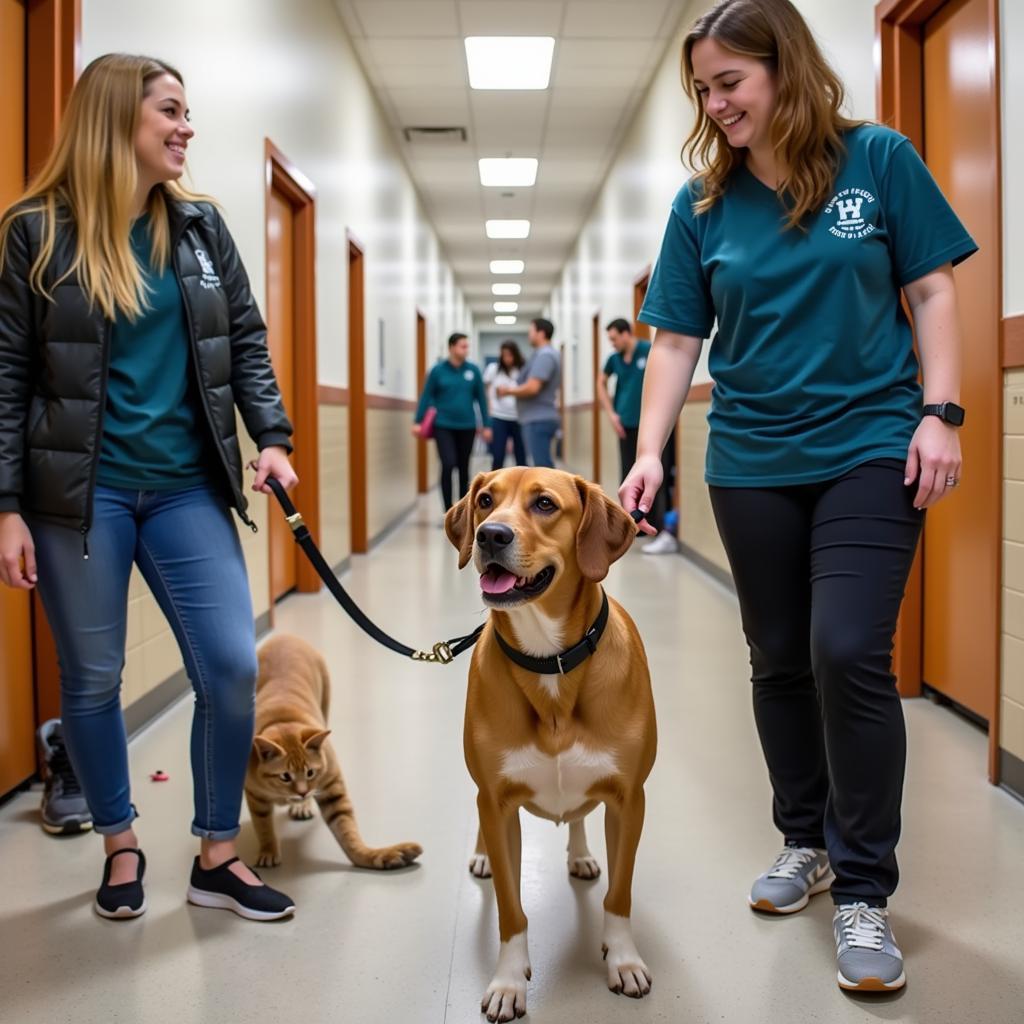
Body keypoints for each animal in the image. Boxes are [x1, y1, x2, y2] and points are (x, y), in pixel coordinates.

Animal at [243, 634, 419, 868]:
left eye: (310, 772)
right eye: (285, 776)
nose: (302, 792)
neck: (283, 719)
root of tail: (286, 635)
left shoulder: (332, 787)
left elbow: (348, 832)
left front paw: (364, 854)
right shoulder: (255, 796)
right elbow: (263, 827)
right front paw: (268, 850)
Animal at [446, 468, 655, 1019]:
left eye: (544, 504)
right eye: (484, 500)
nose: (490, 535)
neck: (550, 661)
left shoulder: (630, 800)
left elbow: (618, 896)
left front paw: (623, 958)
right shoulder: (497, 804)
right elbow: (511, 910)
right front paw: (508, 982)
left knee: (579, 815)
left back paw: (580, 854)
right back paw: (480, 855)